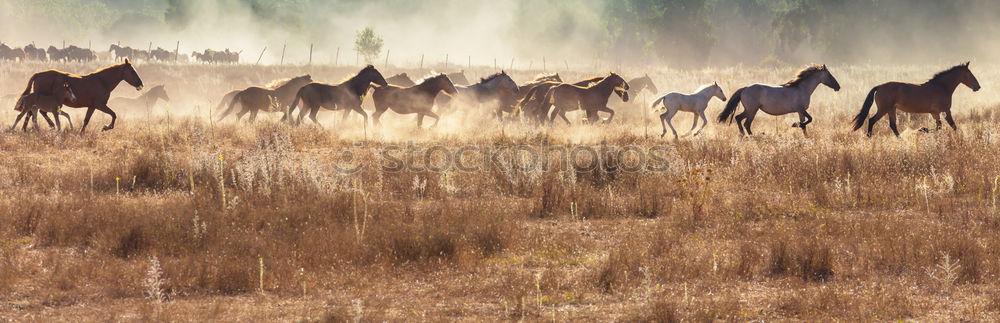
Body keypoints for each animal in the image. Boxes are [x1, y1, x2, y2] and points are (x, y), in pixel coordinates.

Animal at [852, 62, 984, 137]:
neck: (942, 87)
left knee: (892, 125)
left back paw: (900, 139)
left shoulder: (935, 113)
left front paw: (922, 130)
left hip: (891, 110)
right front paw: (922, 129)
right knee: (872, 120)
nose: (977, 87)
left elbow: (940, 127)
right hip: (884, 109)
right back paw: (870, 136)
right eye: (969, 74)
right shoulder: (944, 111)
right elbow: (951, 125)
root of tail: (879, 86)